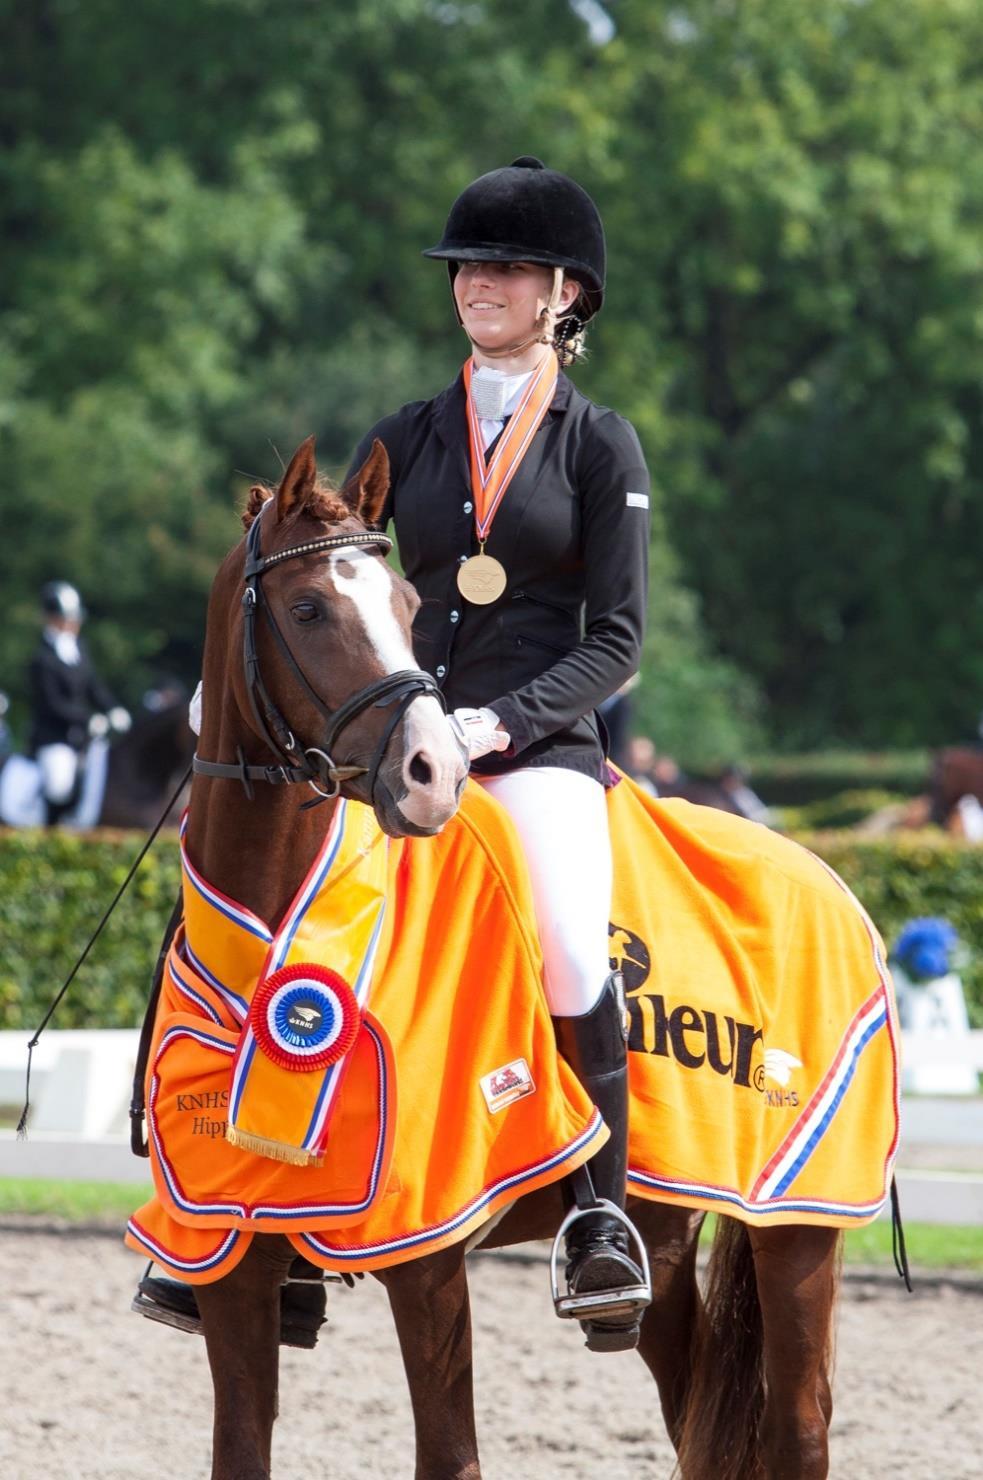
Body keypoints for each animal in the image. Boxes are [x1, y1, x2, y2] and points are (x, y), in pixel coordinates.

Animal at [174, 438, 834, 1480]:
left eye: (407, 603)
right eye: (308, 607)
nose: (429, 773)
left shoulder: (427, 1252)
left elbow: (450, 1455)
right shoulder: (228, 1259)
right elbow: (239, 1448)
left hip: (801, 1231)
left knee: (797, 1428)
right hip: (667, 1241)